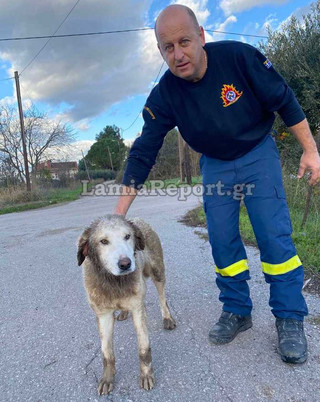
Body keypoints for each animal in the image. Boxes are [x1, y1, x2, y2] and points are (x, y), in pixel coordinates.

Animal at [78, 215, 178, 394]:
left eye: (127, 236)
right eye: (103, 241)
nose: (125, 263)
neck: (114, 282)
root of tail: (138, 218)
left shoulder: (138, 309)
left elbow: (144, 349)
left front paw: (146, 375)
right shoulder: (103, 315)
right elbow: (107, 353)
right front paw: (107, 379)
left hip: (158, 272)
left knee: (162, 297)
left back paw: (167, 318)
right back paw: (123, 313)